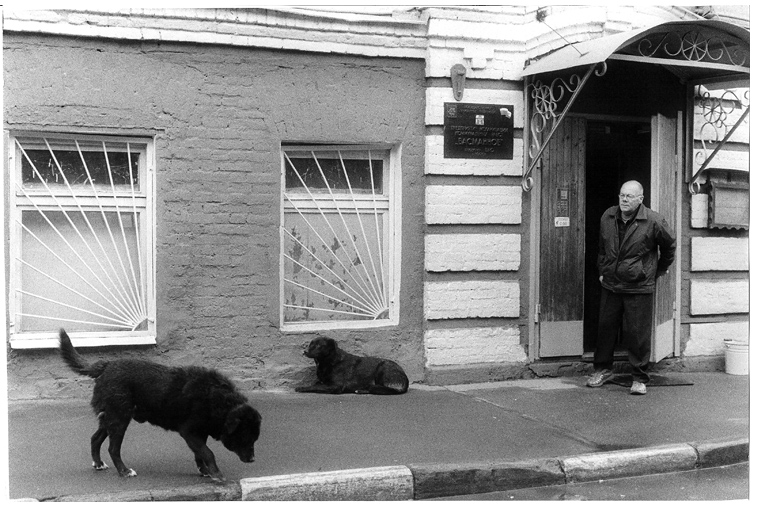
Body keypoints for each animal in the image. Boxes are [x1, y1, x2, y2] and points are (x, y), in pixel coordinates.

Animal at [58, 329, 261, 482]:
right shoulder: (189, 431)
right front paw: (216, 473)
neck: (218, 401)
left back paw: (99, 464)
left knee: (95, 439)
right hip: (120, 419)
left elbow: (200, 453)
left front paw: (205, 471)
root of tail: (107, 365)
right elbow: (208, 452)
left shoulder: (199, 433)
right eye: (245, 437)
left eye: (255, 438)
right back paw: (124, 471)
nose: (253, 460)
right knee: (113, 449)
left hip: (110, 418)